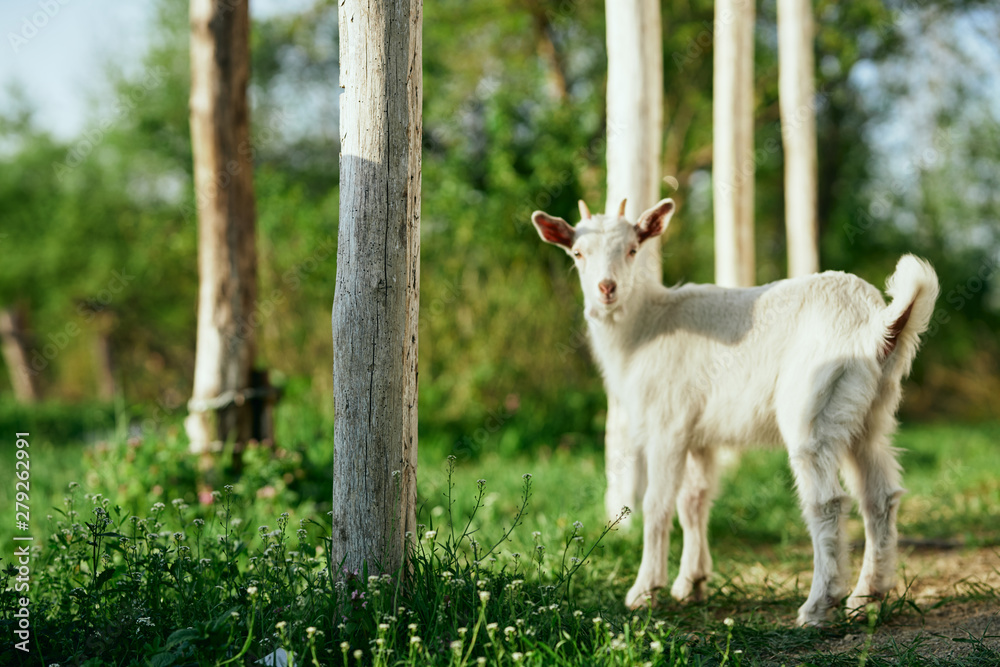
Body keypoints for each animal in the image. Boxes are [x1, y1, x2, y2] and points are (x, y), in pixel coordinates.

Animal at [531, 198, 938, 625]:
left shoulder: (667, 424)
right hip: (871, 412)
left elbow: (657, 503)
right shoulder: (698, 435)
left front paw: (645, 591)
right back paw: (866, 598)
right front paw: (691, 584)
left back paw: (817, 605)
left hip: (813, 407)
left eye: (632, 249)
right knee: (879, 497)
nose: (606, 289)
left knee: (826, 501)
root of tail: (877, 325)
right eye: (578, 253)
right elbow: (693, 501)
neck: (646, 328)